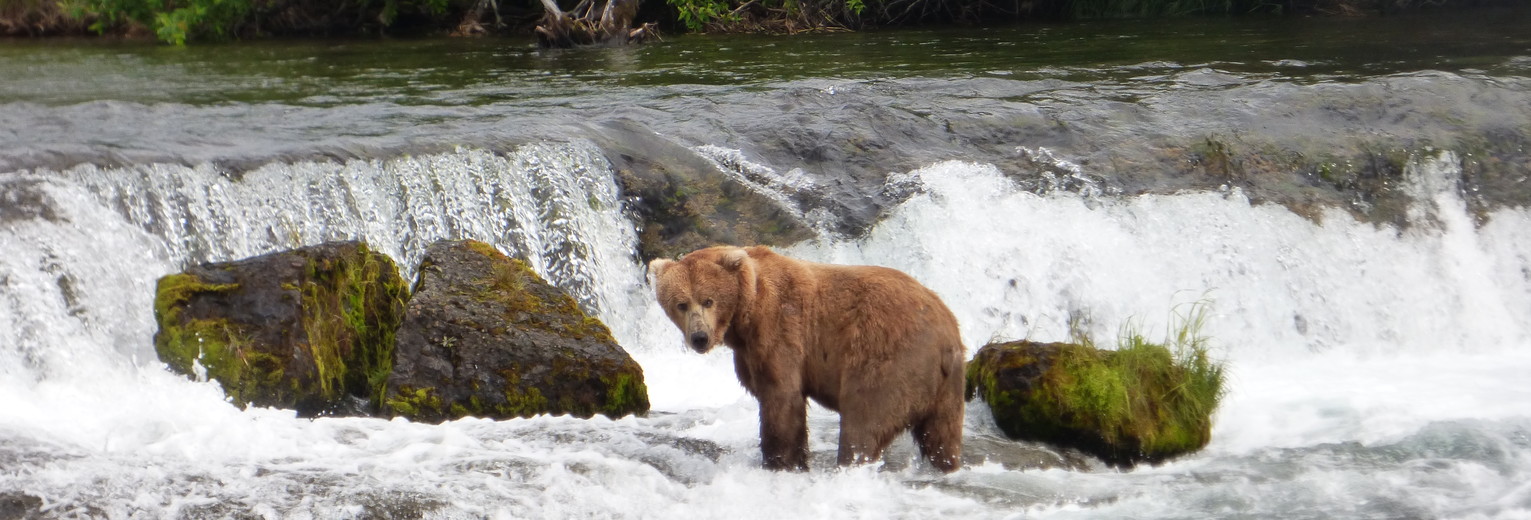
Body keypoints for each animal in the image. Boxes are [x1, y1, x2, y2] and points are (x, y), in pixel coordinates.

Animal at [649, 246, 961, 474]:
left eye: (708, 300)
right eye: (681, 304)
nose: (699, 337)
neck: (745, 314)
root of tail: (947, 333)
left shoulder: (781, 329)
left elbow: (782, 398)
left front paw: (779, 461)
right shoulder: (748, 351)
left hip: (886, 356)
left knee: (864, 421)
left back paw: (849, 462)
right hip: (944, 389)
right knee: (941, 436)